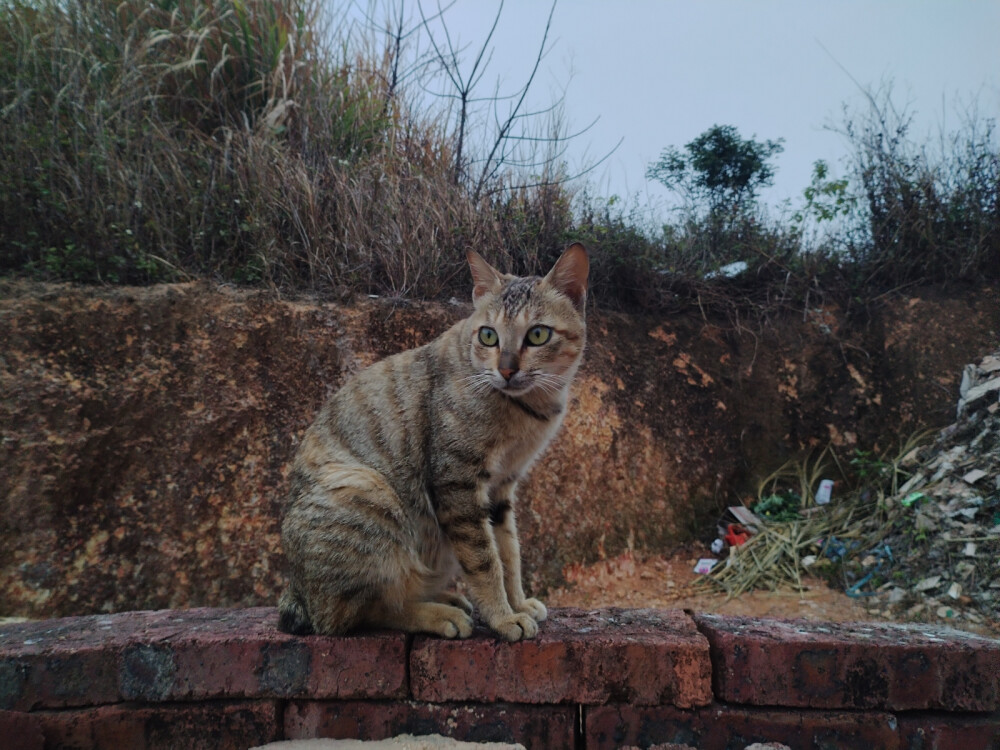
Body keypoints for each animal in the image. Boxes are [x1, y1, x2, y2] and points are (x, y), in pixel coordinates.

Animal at [278, 244, 588, 644]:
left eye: (537, 335)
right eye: (489, 336)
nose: (506, 370)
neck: (525, 409)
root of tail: (297, 590)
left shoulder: (502, 487)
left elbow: (509, 552)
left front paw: (517, 602)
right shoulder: (458, 482)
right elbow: (485, 561)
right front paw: (504, 617)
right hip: (366, 490)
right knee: (351, 615)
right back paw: (437, 614)